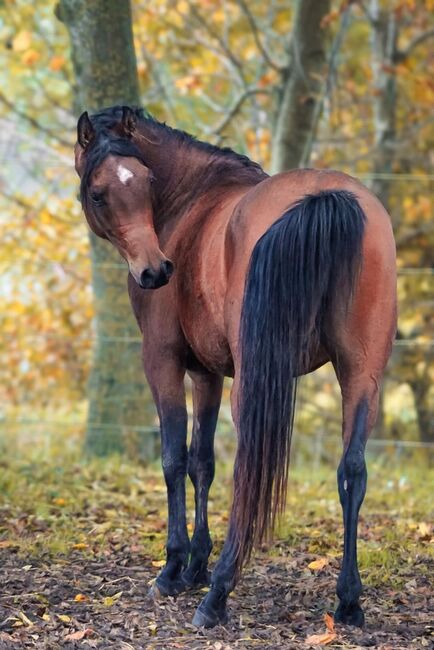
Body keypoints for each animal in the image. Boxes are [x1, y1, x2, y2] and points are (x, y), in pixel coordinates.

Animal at [74, 105, 396, 628]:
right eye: (101, 192)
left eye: (145, 181)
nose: (155, 271)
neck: (190, 204)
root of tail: (327, 197)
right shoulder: (206, 372)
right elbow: (201, 463)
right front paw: (195, 566)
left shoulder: (163, 361)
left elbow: (174, 458)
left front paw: (175, 569)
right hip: (361, 374)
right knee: (353, 472)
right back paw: (348, 600)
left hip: (254, 382)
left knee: (247, 472)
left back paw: (218, 595)